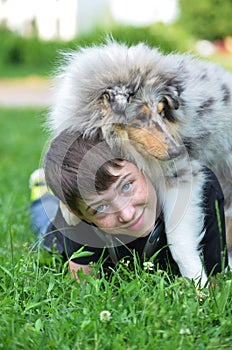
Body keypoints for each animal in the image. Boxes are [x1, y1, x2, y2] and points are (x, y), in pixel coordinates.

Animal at [46, 39, 231, 286]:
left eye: (162, 111)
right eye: (140, 117)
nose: (177, 150)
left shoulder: (181, 174)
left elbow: (178, 238)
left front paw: (196, 281)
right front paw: (69, 213)